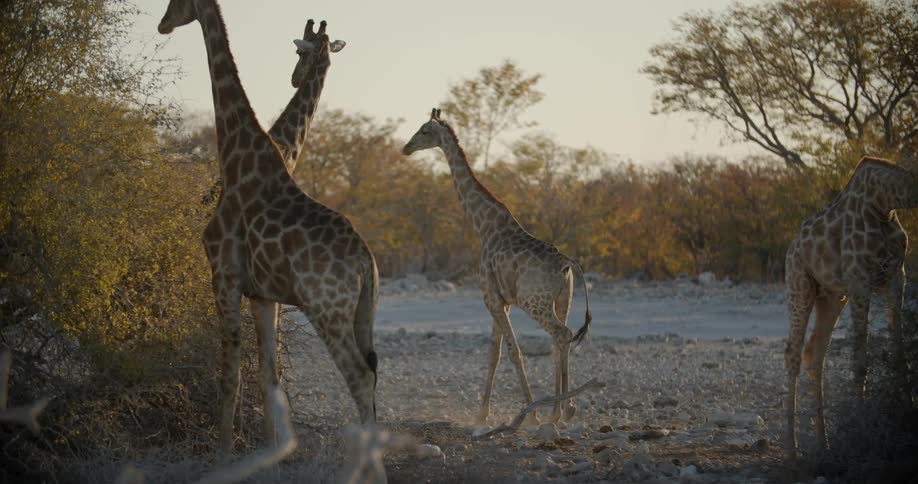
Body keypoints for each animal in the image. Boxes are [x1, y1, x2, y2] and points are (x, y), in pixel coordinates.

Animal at [158, 0, 379, 453]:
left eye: (176, 2)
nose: (161, 24)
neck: (236, 156)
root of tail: (367, 261)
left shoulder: (223, 276)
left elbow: (231, 375)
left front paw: (225, 452)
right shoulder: (263, 294)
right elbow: (268, 377)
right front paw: (273, 451)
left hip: (327, 310)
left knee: (360, 377)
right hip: (363, 311)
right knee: (371, 374)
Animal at [403, 108, 593, 424]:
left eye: (424, 131)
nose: (406, 148)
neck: (483, 225)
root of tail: (567, 265)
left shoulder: (490, 297)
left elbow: (513, 351)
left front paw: (530, 415)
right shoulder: (500, 300)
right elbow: (495, 353)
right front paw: (482, 415)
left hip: (535, 302)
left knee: (562, 335)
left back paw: (560, 410)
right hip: (562, 299)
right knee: (558, 343)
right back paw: (560, 411)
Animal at [784, 156, 918, 459]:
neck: (885, 203)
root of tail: (791, 248)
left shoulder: (896, 277)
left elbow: (900, 353)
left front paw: (907, 409)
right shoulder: (860, 281)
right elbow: (860, 361)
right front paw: (863, 429)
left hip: (832, 297)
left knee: (815, 353)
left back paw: (824, 445)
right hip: (800, 287)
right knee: (793, 354)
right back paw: (792, 449)